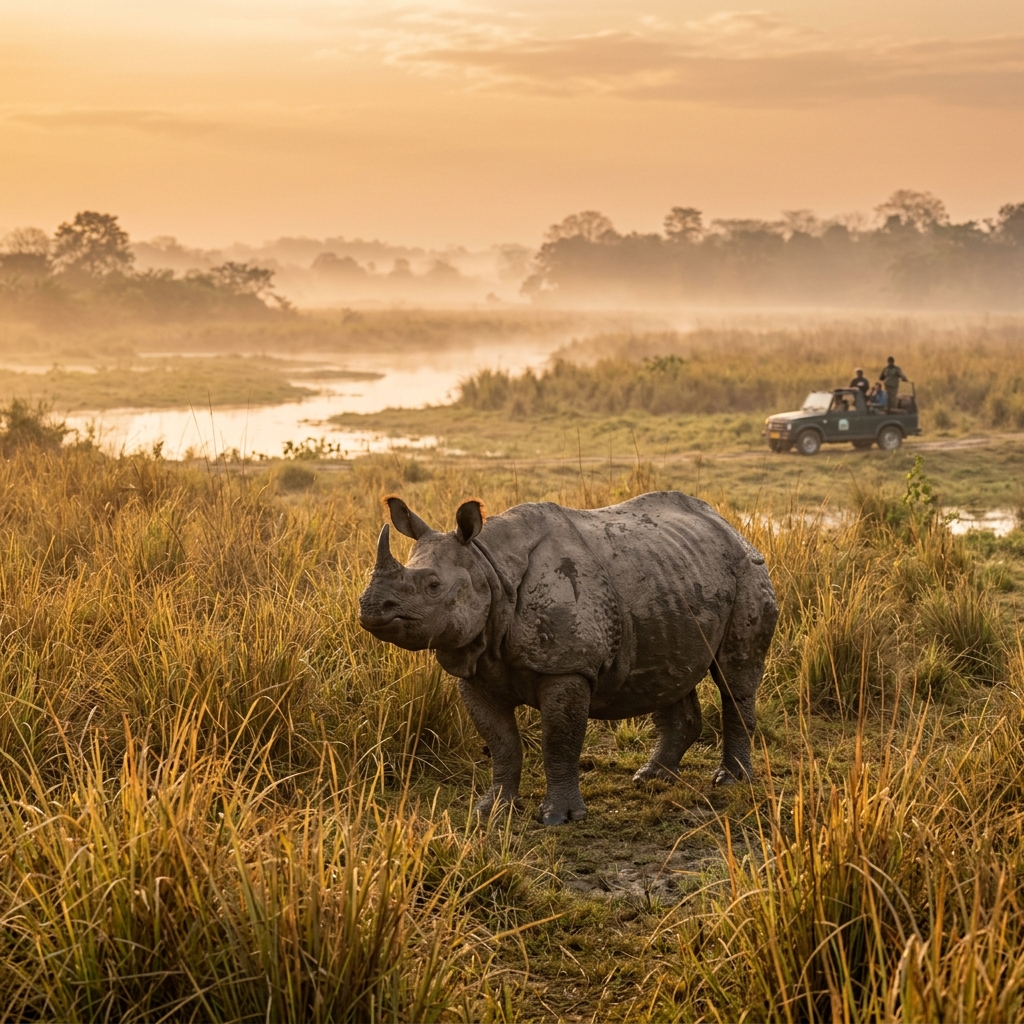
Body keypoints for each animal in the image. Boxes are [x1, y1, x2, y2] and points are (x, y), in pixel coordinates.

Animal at [359, 492, 778, 826]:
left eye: (433, 586)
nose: (370, 607)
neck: (488, 567)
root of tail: (729, 527)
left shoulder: (568, 667)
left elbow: (558, 741)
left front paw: (558, 818)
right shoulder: (474, 668)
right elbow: (502, 743)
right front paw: (492, 811)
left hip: (747, 571)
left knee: (734, 678)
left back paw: (730, 780)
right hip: (672, 575)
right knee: (668, 670)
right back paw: (651, 778)